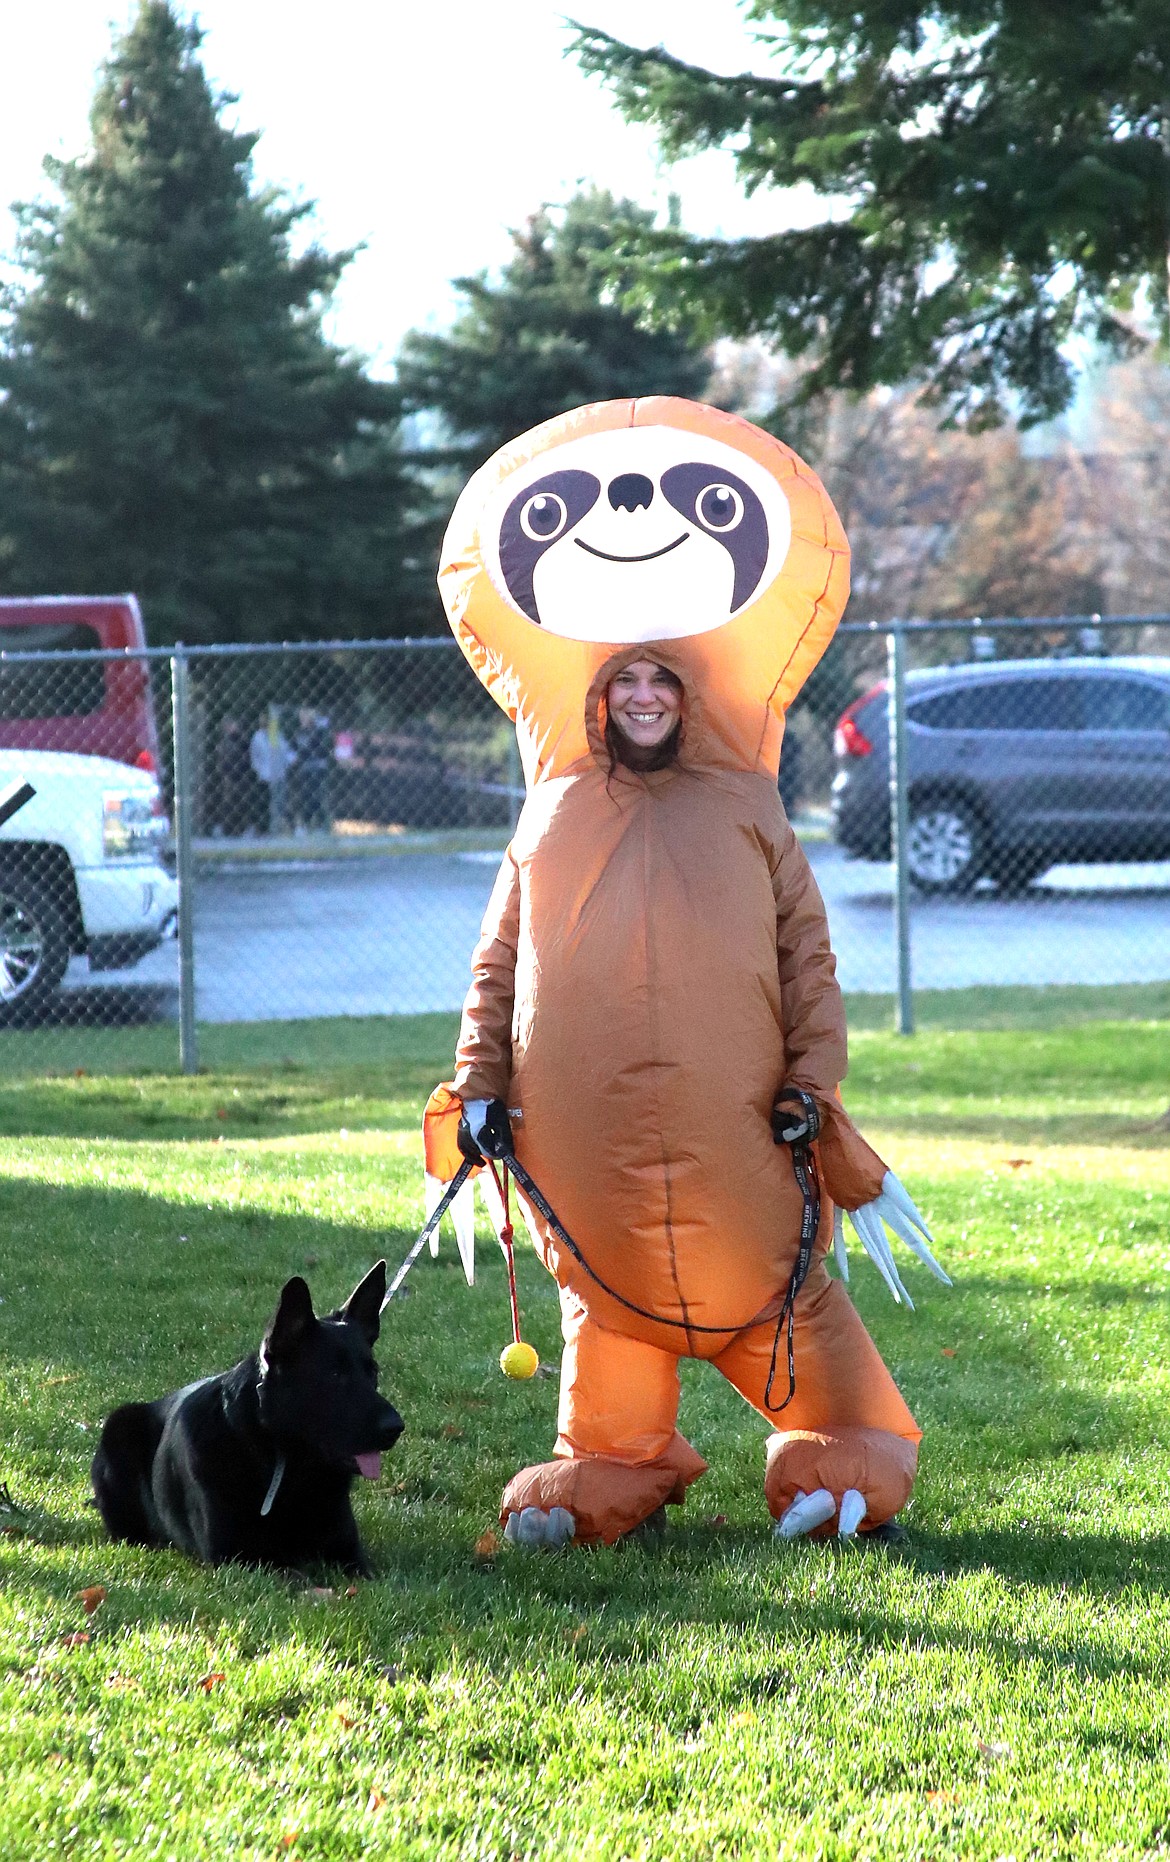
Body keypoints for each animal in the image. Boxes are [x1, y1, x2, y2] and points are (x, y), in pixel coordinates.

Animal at [91, 1266, 404, 1571]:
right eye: (335, 1375)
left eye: (372, 1372)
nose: (396, 1428)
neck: (282, 1462)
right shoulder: (240, 1559)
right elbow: (295, 1574)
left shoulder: (349, 1554)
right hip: (120, 1424)